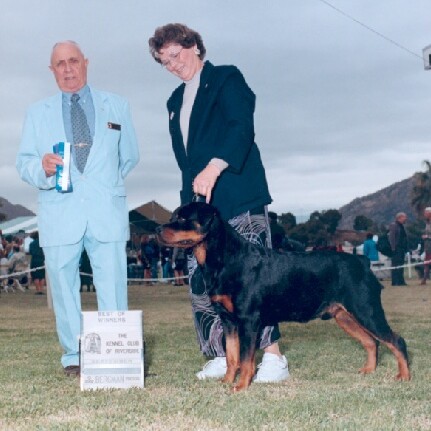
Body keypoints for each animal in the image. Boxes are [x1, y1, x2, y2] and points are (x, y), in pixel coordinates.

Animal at [158, 202, 412, 392]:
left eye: (183, 219)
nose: (157, 230)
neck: (225, 259)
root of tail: (363, 261)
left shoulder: (248, 320)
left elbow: (246, 359)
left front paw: (240, 387)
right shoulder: (228, 320)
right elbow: (231, 356)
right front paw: (227, 381)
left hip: (366, 309)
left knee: (396, 340)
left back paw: (405, 376)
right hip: (345, 316)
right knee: (371, 342)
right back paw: (368, 371)